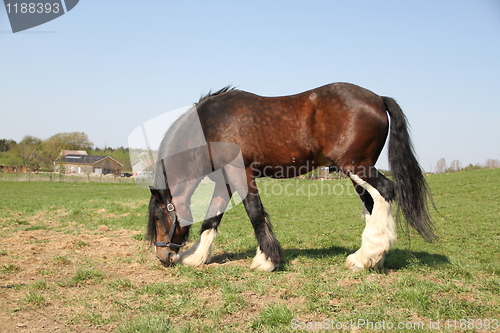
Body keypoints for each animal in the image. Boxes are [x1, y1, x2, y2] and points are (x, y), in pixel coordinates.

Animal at [146, 81, 434, 272]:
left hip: (356, 167)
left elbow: (254, 212)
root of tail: (377, 98)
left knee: (386, 191)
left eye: (159, 217)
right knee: (372, 205)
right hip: (357, 172)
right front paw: (196, 257)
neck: (209, 124)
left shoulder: (241, 172)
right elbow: (213, 216)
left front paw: (266, 260)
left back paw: (365, 257)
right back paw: (372, 257)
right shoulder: (225, 178)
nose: (162, 256)